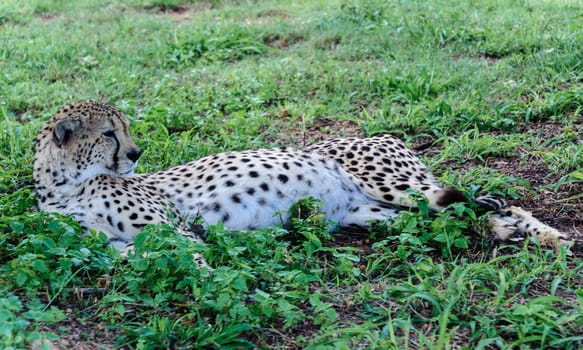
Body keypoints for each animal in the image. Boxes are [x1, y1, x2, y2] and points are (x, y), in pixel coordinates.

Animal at [35, 101, 576, 268]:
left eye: (123, 129)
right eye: (109, 133)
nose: (135, 154)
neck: (64, 188)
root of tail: (381, 134)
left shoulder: (178, 232)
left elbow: (193, 257)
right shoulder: (106, 246)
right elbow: (125, 253)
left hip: (394, 183)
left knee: (485, 204)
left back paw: (550, 236)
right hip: (373, 213)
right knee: (449, 220)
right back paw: (506, 233)